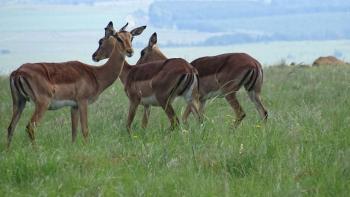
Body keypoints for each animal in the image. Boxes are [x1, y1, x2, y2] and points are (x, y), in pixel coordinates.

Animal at [6, 21, 146, 148]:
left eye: (131, 37)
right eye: (118, 38)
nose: (130, 51)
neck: (95, 74)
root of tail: (18, 71)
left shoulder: (74, 106)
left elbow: (74, 132)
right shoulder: (83, 102)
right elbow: (85, 130)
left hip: (19, 102)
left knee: (11, 127)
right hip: (42, 104)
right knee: (30, 126)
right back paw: (36, 151)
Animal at [137, 31, 268, 125]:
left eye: (142, 52)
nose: (138, 65)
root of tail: (254, 63)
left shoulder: (194, 98)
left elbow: (185, 118)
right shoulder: (202, 100)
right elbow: (199, 118)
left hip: (229, 93)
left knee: (241, 113)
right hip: (253, 91)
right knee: (264, 112)